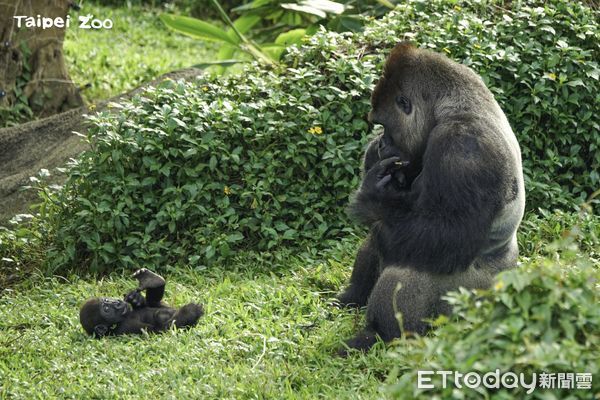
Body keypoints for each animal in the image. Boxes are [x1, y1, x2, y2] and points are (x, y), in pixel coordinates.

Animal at [338, 41, 524, 354]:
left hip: (474, 298)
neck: (449, 105)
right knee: (381, 238)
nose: (382, 141)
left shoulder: (463, 149)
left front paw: (371, 197)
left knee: (403, 269)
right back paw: (349, 298)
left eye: (384, 124)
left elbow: (446, 235)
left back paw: (376, 335)